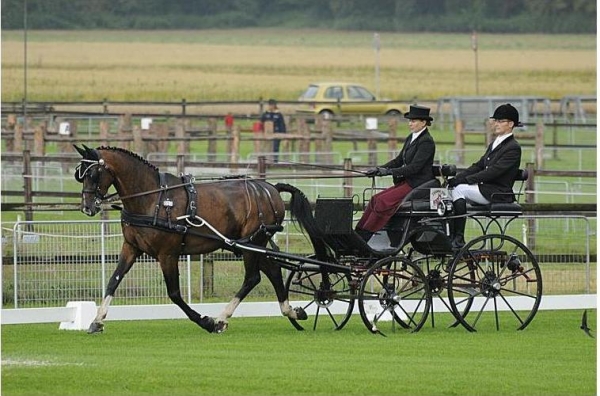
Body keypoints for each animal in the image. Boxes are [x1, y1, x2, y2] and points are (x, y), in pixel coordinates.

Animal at [72, 144, 326, 332]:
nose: (87, 207)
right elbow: (113, 281)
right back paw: (291, 312)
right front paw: (97, 321)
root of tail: (270, 187)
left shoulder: (168, 254)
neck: (153, 199)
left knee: (252, 278)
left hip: (252, 243)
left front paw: (206, 321)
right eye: (80, 175)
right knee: (272, 270)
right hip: (252, 245)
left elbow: (174, 293)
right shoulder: (131, 247)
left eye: (93, 173)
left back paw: (221, 318)